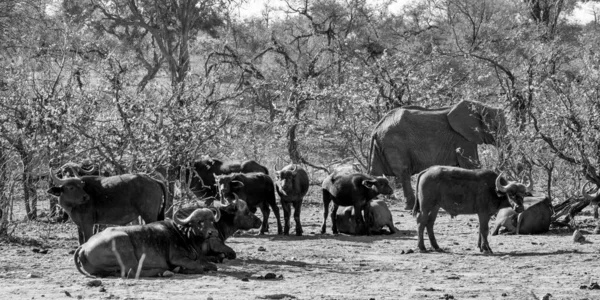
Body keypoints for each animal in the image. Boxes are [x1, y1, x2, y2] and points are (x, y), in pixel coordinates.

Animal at [74, 207, 236, 278]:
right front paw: (182, 269)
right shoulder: (177, 258)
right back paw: (164, 271)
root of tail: (83, 246)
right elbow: (199, 266)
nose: (213, 232)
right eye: (199, 222)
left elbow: (212, 265)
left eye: (211, 221)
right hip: (122, 242)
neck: (185, 235)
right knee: (132, 271)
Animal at [366, 100, 506, 209]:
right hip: (395, 144)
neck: (480, 105)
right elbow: (472, 166)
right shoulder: (462, 138)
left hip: (381, 146)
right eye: (495, 127)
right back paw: (409, 206)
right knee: (404, 172)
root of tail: (376, 128)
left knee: (375, 172)